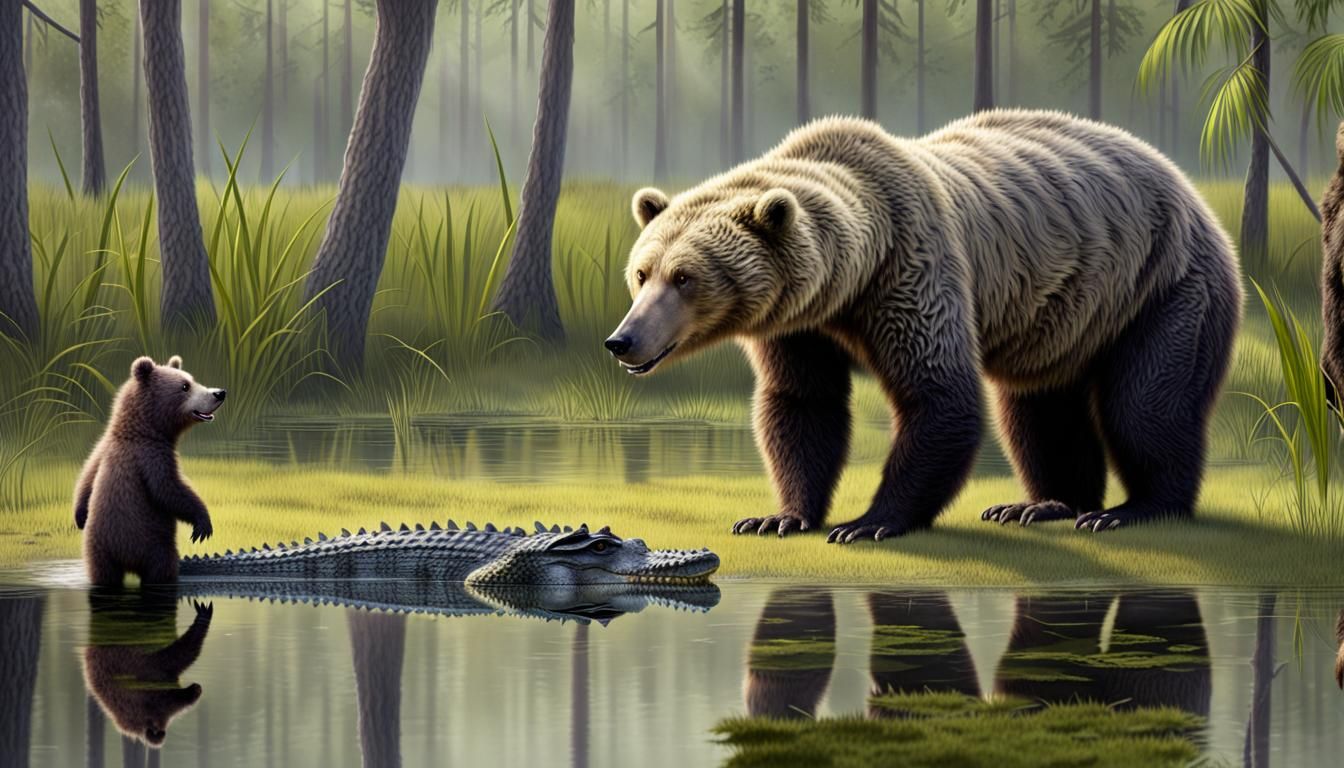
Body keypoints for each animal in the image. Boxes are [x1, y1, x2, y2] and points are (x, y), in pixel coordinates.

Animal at [75, 356, 226, 585]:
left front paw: (79, 516)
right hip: (154, 545)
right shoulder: (152, 455)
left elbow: (87, 477)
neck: (141, 429)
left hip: (97, 552)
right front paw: (202, 524)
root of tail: (126, 559)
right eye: (185, 386)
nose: (219, 393)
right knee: (161, 569)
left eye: (192, 380)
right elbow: (168, 489)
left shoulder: (102, 449)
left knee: (102, 573)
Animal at [605, 109, 1242, 543]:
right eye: (641, 272)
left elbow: (938, 393)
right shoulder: (799, 325)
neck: (848, 281)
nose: (622, 340)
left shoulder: (912, 267)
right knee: (1039, 407)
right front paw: (779, 516)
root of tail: (1186, 185)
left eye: (685, 277)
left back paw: (1134, 508)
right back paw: (1042, 504)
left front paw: (868, 522)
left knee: (1148, 402)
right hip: (1064, 315)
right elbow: (802, 402)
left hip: (1162, 285)